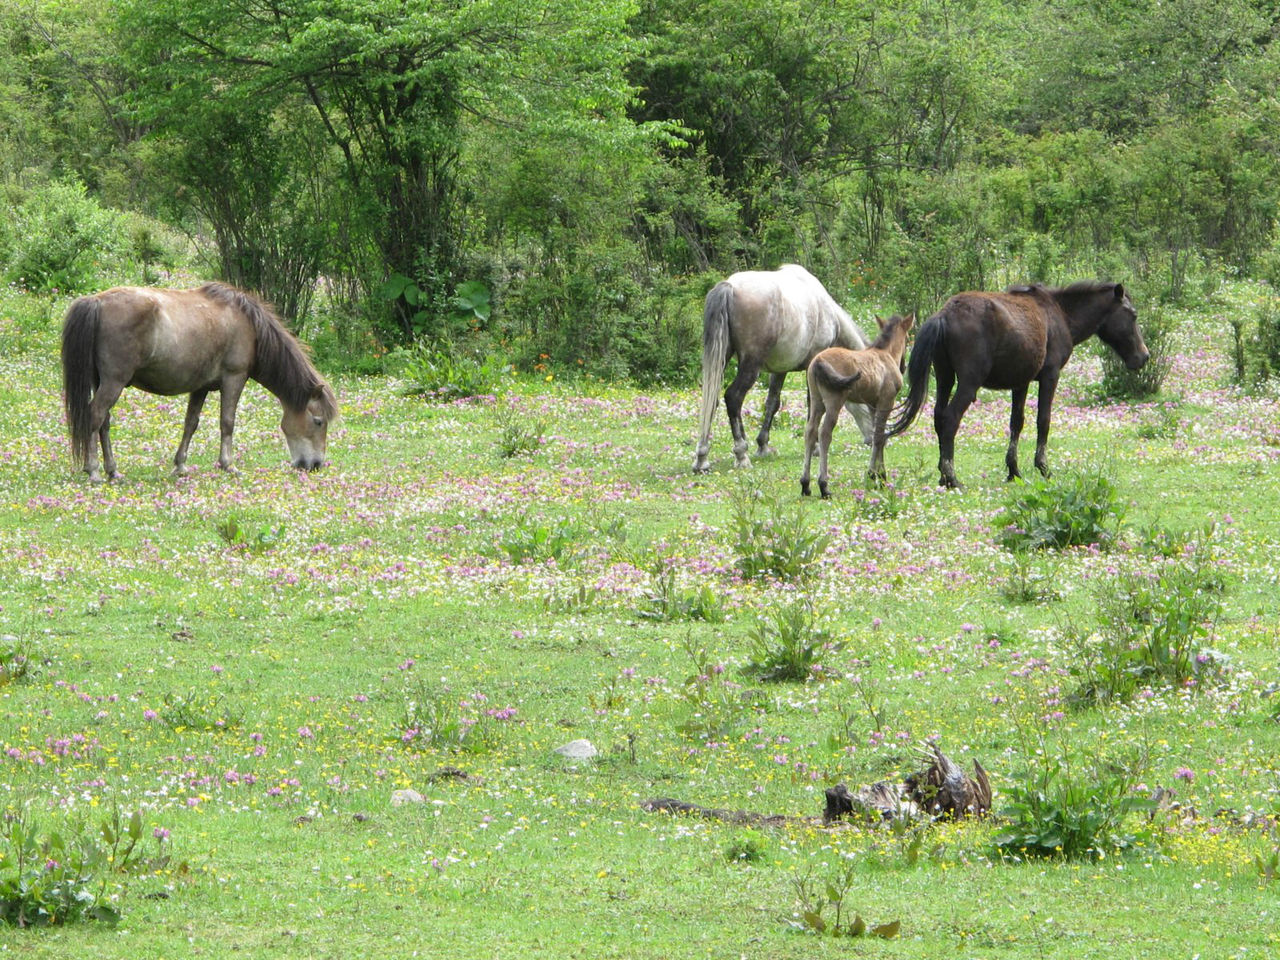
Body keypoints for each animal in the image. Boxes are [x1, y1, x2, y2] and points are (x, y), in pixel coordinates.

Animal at [61, 284, 337, 481]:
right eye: (318, 421)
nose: (315, 465)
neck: (249, 326)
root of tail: (96, 302)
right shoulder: (234, 378)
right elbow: (227, 423)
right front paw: (228, 465)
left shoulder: (200, 387)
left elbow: (190, 424)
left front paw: (180, 466)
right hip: (114, 383)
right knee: (95, 416)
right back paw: (93, 470)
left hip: (101, 382)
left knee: (104, 423)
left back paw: (112, 470)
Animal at [696, 263, 875, 473]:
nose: (875, 438)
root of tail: (729, 287)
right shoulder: (813, 366)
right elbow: (813, 404)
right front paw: (815, 447)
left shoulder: (779, 370)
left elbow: (772, 403)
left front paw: (762, 445)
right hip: (750, 365)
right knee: (733, 398)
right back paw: (741, 454)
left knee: (711, 400)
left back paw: (702, 458)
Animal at [798, 313, 911, 499]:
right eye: (908, 339)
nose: (903, 366)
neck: (885, 355)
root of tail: (819, 361)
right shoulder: (886, 402)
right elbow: (879, 436)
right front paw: (875, 475)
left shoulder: (873, 405)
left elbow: (877, 436)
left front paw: (880, 476)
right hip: (834, 402)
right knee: (824, 434)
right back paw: (824, 485)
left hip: (816, 401)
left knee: (810, 431)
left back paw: (805, 484)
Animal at [890, 280, 1152, 488]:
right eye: (1133, 315)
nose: (1144, 356)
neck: (1060, 314)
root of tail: (944, 314)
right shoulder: (1050, 376)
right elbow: (1043, 421)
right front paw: (1043, 467)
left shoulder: (1021, 382)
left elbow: (1016, 423)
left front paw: (1013, 470)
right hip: (967, 384)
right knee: (950, 419)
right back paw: (952, 478)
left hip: (945, 377)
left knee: (938, 418)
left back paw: (942, 476)